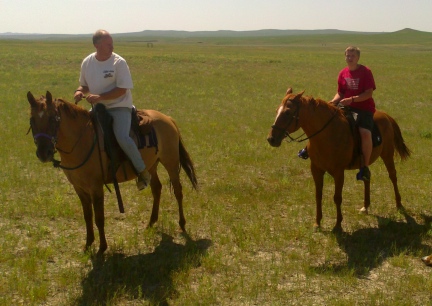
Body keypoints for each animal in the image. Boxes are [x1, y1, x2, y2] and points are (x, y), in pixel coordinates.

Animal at [26, 91, 197, 253]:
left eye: (52, 119)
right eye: (32, 120)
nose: (43, 153)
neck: (81, 141)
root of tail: (167, 118)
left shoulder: (96, 187)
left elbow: (99, 218)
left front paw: (102, 248)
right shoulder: (79, 188)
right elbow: (87, 216)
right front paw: (88, 244)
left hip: (171, 162)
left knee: (178, 190)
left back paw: (182, 223)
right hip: (151, 165)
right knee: (157, 188)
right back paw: (151, 222)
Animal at [266, 87, 412, 231]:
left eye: (287, 112)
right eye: (276, 110)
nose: (271, 139)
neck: (327, 135)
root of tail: (386, 115)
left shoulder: (338, 172)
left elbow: (337, 197)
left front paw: (338, 225)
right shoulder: (316, 169)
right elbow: (318, 195)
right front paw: (317, 223)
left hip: (387, 154)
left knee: (393, 176)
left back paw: (399, 204)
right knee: (367, 177)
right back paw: (365, 206)